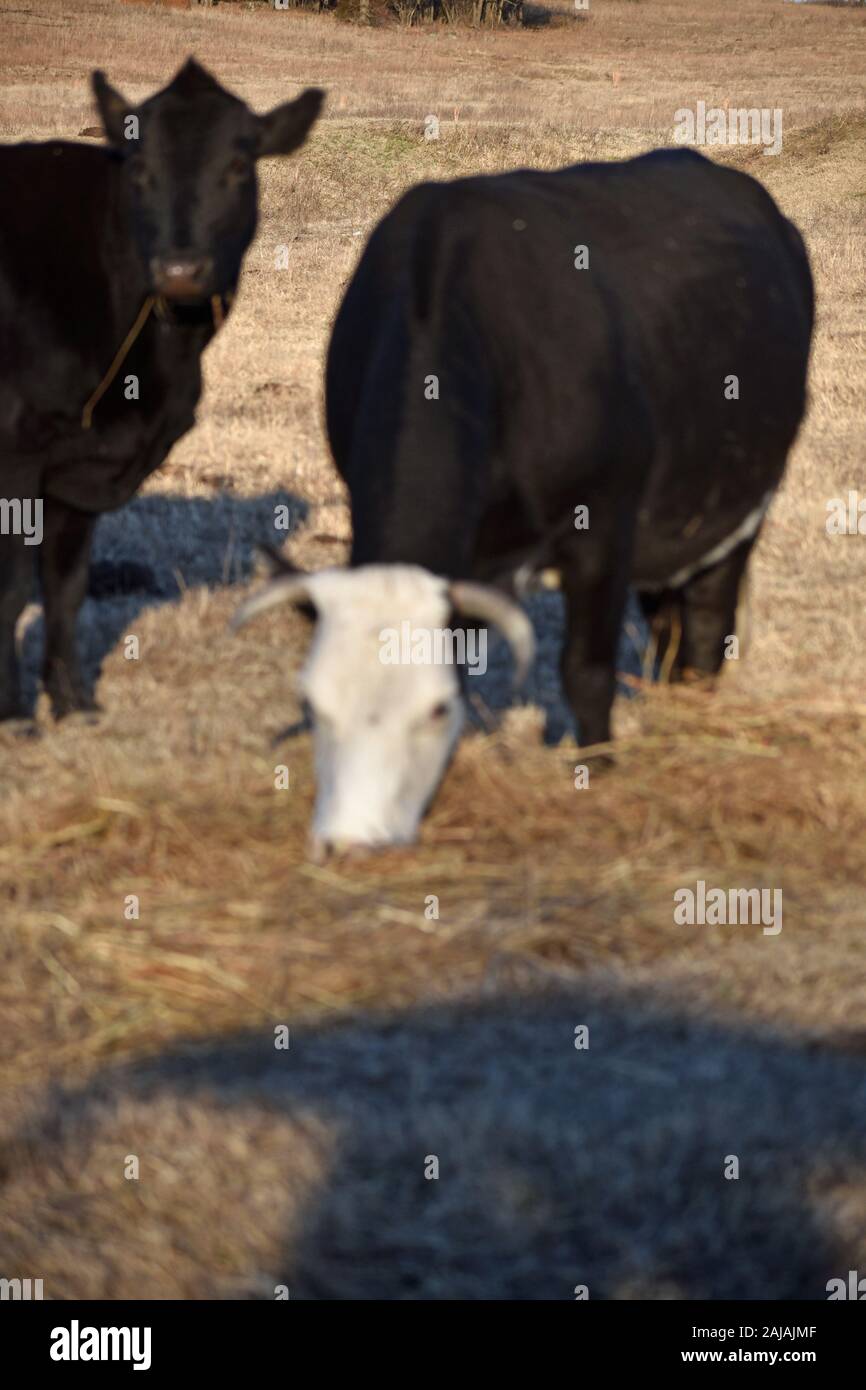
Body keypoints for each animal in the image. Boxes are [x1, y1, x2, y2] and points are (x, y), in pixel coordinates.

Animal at [0, 59, 323, 721]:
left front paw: (72, 704)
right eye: (140, 170)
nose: (180, 269)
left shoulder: (81, 463)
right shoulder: (17, 451)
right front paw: (15, 715)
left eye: (238, 165)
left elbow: (65, 584)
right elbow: (13, 588)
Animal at [234, 148, 814, 853]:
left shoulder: (604, 525)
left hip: (741, 499)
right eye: (313, 704)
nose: (355, 840)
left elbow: (584, 668)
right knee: (669, 626)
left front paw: (600, 770)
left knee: (706, 622)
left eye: (434, 709)